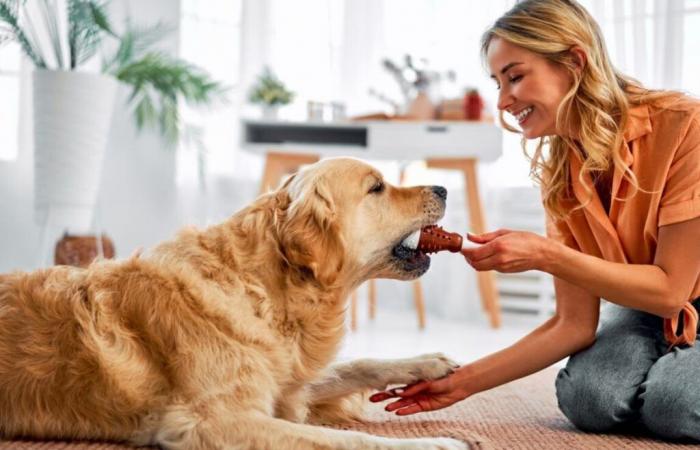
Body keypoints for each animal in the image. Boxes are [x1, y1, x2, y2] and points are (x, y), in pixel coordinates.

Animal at [2, 158, 468, 450]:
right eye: (377, 187)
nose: (444, 187)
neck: (266, 291)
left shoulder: (284, 380)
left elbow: (358, 364)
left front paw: (428, 363)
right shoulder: (216, 421)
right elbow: (346, 440)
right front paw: (439, 444)